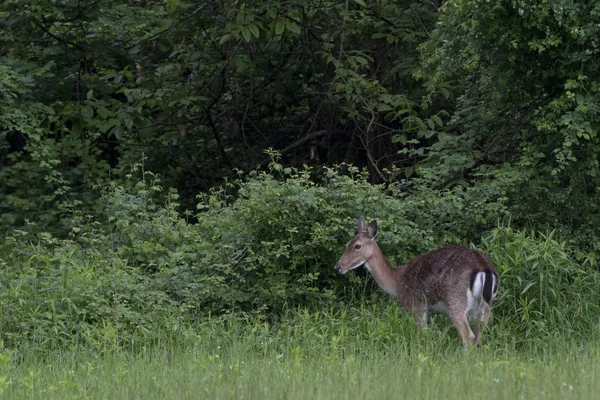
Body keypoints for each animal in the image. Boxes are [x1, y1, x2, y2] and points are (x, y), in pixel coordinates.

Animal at [336, 217, 500, 352]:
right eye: (346, 244)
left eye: (357, 246)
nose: (338, 267)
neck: (397, 283)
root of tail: (484, 267)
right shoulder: (428, 310)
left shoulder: (416, 307)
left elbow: (422, 336)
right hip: (486, 306)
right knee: (479, 337)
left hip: (455, 301)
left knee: (468, 337)